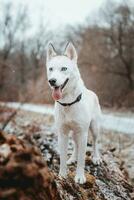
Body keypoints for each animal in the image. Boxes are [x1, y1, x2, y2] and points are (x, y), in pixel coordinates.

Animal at [46, 42, 101, 184]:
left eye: (64, 68)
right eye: (51, 69)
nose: (52, 81)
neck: (68, 103)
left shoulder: (83, 133)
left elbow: (82, 159)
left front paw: (80, 177)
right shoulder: (63, 133)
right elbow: (62, 157)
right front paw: (62, 175)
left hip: (94, 128)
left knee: (95, 142)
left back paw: (96, 158)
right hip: (74, 133)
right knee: (76, 145)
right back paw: (72, 159)